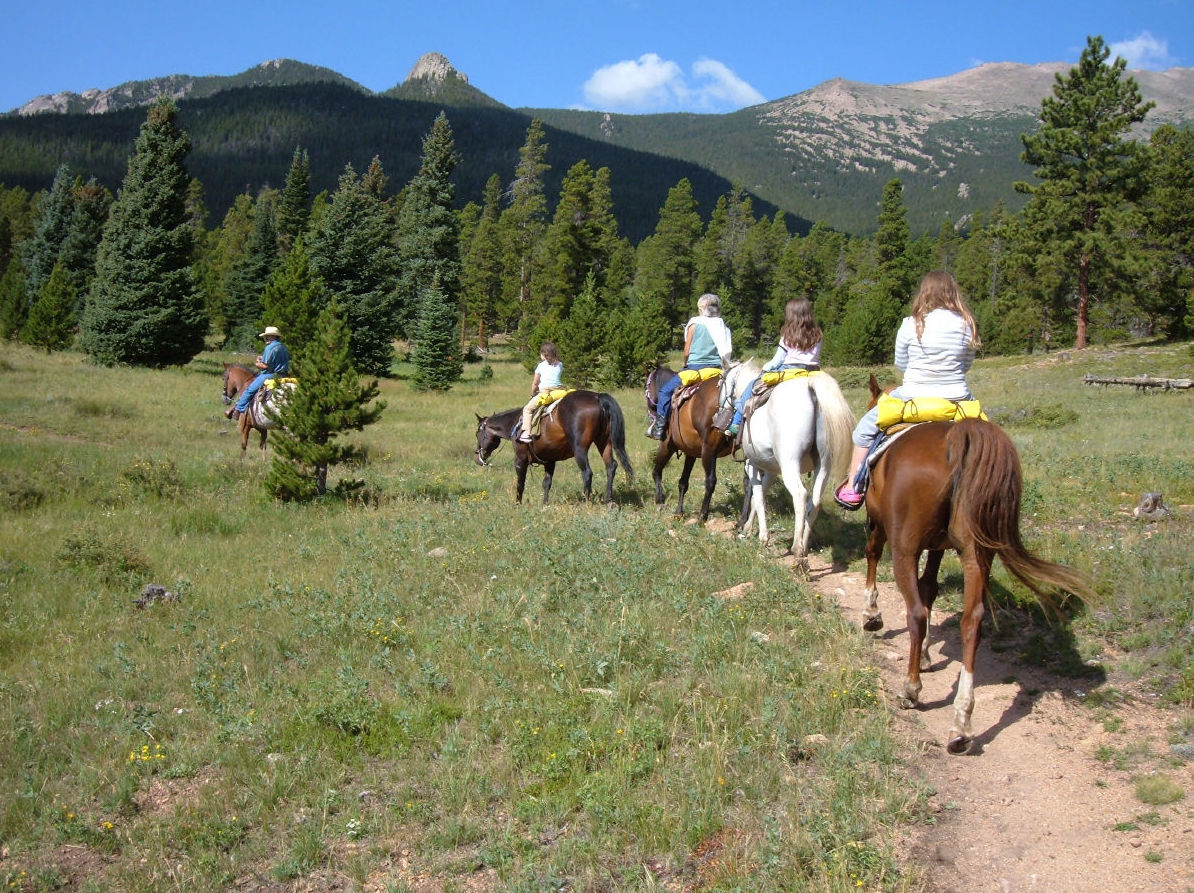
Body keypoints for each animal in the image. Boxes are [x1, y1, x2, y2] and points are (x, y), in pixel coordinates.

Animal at [472, 389, 635, 506]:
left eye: (477, 433)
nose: (477, 457)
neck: (514, 424)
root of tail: (597, 397)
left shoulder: (520, 459)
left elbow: (520, 483)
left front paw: (517, 504)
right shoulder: (550, 461)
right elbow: (547, 483)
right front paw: (545, 504)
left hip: (580, 449)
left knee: (587, 472)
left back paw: (587, 502)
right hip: (604, 443)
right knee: (611, 466)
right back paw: (609, 500)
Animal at [649, 362, 730, 520]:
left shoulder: (667, 445)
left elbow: (656, 471)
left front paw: (660, 499)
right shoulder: (691, 451)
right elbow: (683, 482)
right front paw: (678, 512)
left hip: (708, 450)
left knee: (710, 481)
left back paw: (702, 516)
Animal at [721, 360, 854, 565]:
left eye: (720, 384)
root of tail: (811, 390)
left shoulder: (752, 464)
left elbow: (757, 496)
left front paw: (762, 537)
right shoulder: (771, 469)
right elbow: (759, 496)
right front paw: (749, 528)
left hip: (790, 464)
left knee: (800, 496)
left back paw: (797, 550)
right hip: (823, 466)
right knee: (814, 502)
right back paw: (804, 548)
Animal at [859, 377, 1093, 754]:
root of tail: (962, 438)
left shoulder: (881, 524)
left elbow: (874, 557)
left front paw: (871, 616)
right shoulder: (938, 547)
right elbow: (930, 588)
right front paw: (927, 655)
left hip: (906, 547)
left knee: (916, 613)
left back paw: (912, 690)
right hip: (977, 553)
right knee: (973, 621)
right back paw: (962, 725)